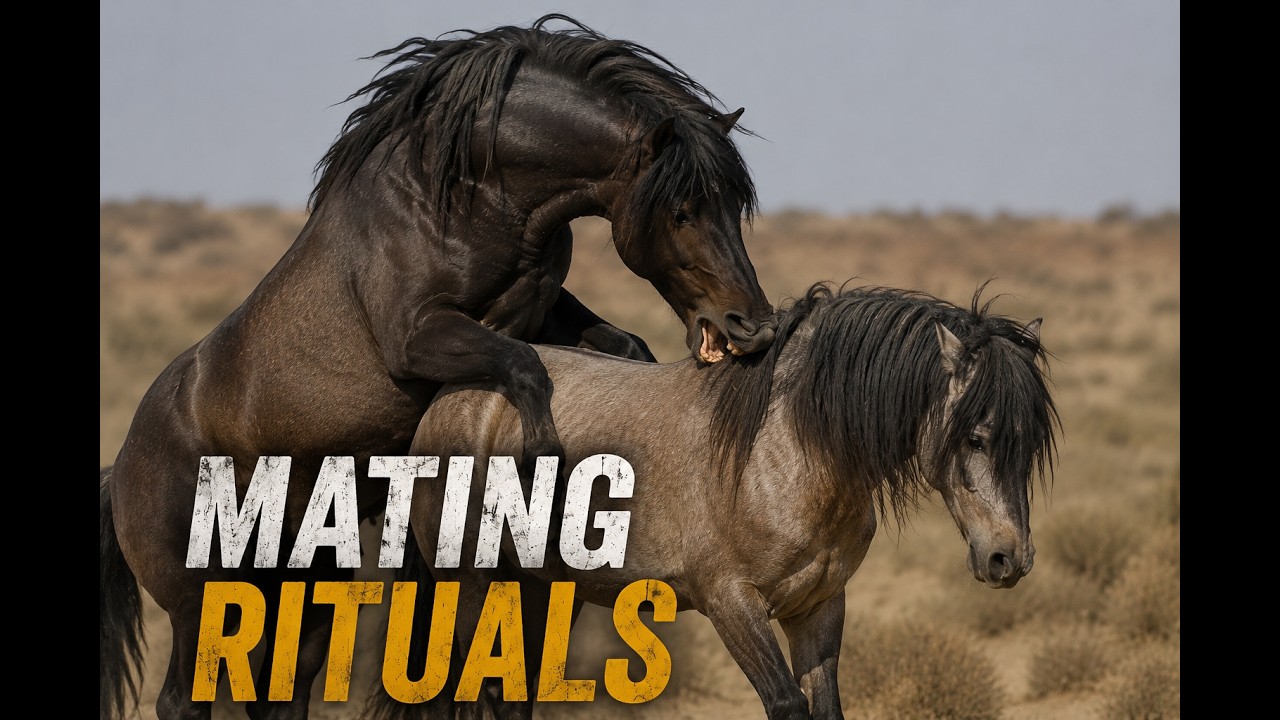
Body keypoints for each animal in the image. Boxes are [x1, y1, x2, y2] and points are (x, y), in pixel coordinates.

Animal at [100, 14, 776, 720]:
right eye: (682, 210)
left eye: (733, 205)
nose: (752, 327)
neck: (463, 199)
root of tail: (120, 468)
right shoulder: (420, 336)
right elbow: (525, 368)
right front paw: (540, 468)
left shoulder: (546, 309)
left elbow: (621, 348)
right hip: (199, 601)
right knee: (182, 698)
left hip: (305, 583)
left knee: (280, 693)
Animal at [390, 282, 1058, 720]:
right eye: (974, 436)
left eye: (1030, 445)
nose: (1008, 559)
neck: (784, 448)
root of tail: (453, 400)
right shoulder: (730, 603)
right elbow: (786, 705)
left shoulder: (819, 606)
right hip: (474, 586)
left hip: (543, 591)